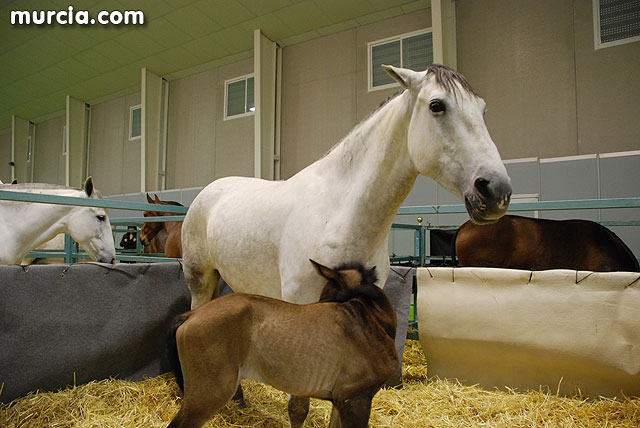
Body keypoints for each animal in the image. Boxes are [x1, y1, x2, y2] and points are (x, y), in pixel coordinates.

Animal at [166, 260, 396, 428]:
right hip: (208, 395)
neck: (367, 322)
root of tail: (191, 315)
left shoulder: (341, 401)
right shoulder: (355, 398)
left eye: (331, 295)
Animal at [182, 63, 512, 310]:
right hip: (199, 281)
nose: (497, 191)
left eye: (482, 109)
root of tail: (208, 192)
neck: (340, 213)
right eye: (436, 105)